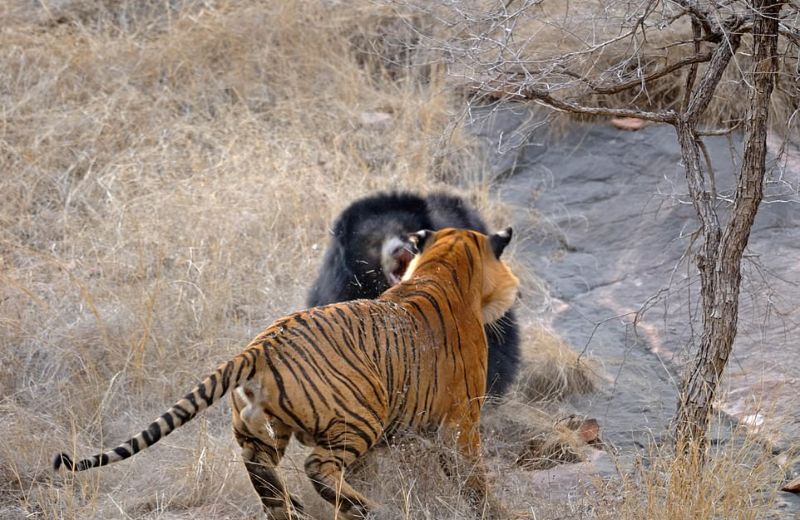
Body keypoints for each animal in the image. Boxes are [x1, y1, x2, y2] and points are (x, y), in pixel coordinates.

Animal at [54, 228, 520, 520]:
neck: (441, 267)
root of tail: (260, 346)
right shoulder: (461, 422)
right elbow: (474, 479)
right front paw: (496, 512)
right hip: (359, 416)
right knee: (319, 467)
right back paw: (362, 508)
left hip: (260, 431)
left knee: (262, 470)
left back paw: (292, 508)